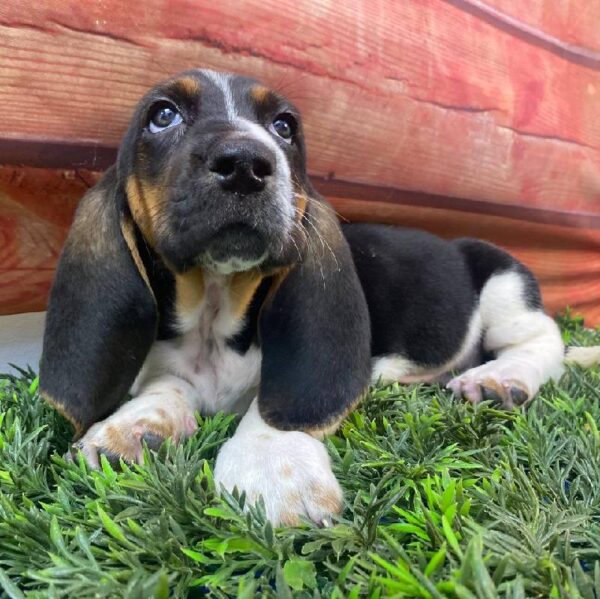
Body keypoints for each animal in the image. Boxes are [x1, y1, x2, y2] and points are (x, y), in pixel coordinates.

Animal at [41, 70, 568, 528]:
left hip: (504, 283)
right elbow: (167, 385)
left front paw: (272, 462)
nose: (246, 164)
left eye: (284, 126)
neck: (215, 307)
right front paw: (133, 425)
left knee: (546, 342)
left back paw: (499, 378)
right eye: (163, 114)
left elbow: (273, 402)